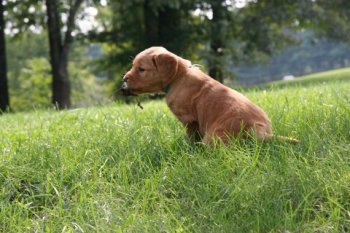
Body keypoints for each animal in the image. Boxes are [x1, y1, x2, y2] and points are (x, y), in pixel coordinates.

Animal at [121, 46, 298, 145]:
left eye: (141, 69)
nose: (124, 79)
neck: (179, 76)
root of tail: (263, 133)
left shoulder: (190, 120)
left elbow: (190, 137)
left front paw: (187, 148)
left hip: (214, 136)